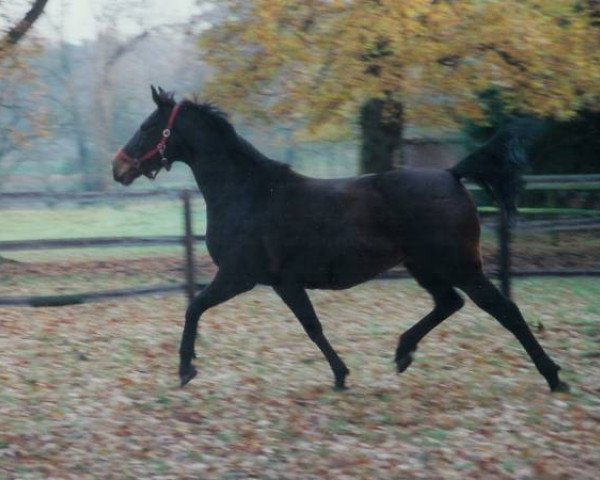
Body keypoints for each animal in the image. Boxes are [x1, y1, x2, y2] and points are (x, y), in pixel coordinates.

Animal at [111, 88, 568, 392]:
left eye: (149, 127)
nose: (119, 168)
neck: (249, 193)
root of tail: (452, 174)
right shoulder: (283, 282)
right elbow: (312, 326)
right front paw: (341, 374)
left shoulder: (240, 276)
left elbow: (195, 307)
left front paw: (186, 370)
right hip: (424, 266)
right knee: (449, 303)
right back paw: (403, 352)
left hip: (459, 265)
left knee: (504, 309)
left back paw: (553, 376)